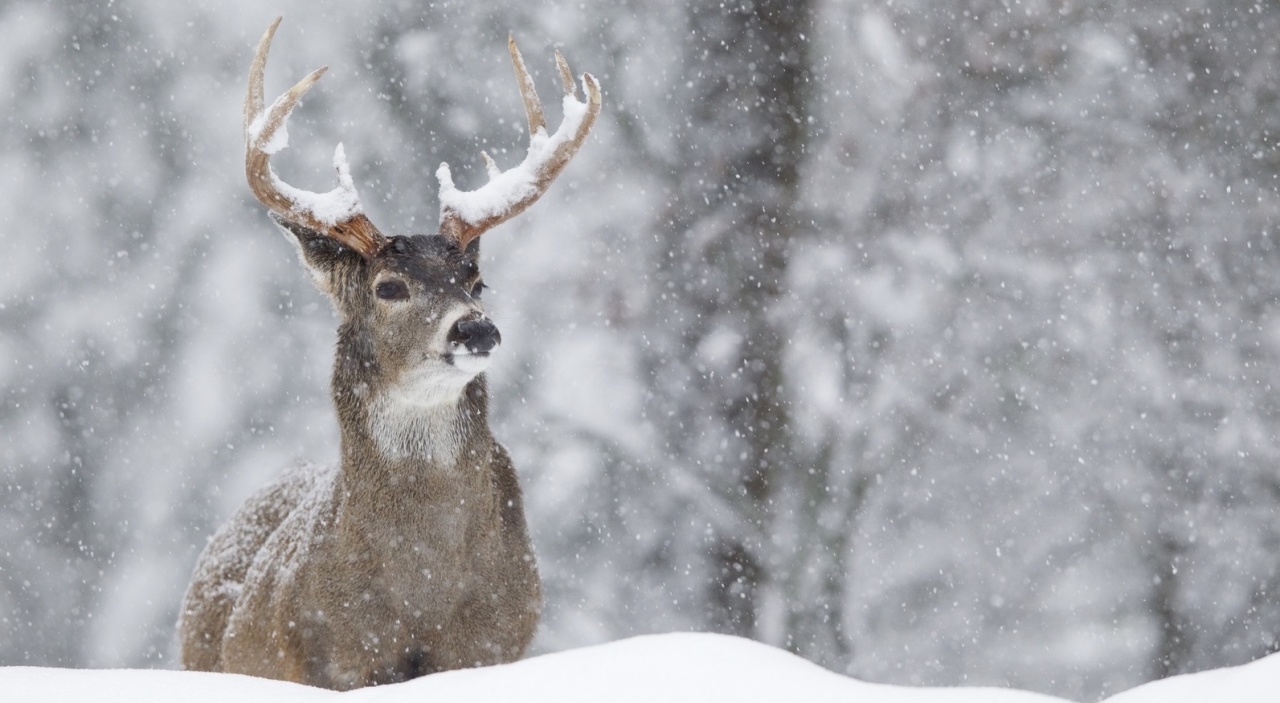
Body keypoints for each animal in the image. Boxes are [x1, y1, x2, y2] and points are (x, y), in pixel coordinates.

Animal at [177, 17, 601, 691]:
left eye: (476, 282)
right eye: (389, 287)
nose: (477, 330)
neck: (421, 589)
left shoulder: (495, 644)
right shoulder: (335, 662)